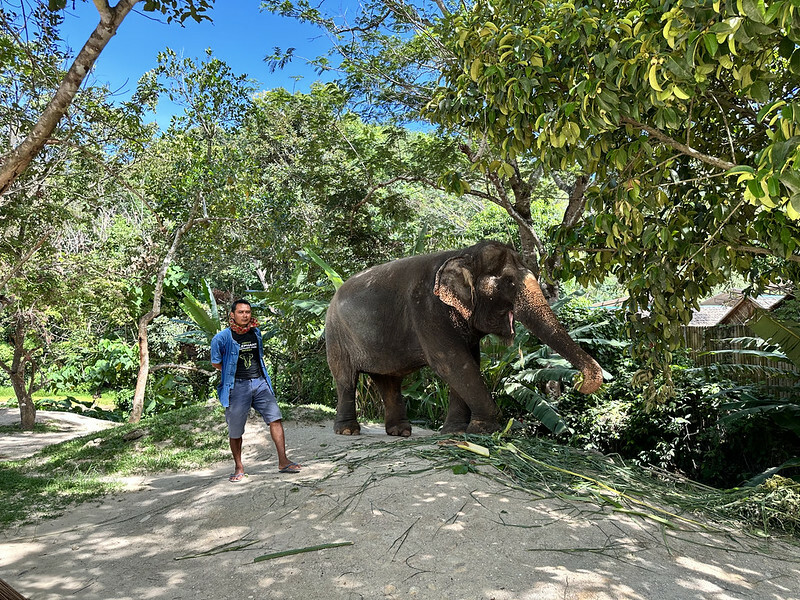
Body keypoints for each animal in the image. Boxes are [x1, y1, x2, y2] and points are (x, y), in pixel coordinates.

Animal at [324, 240, 604, 436]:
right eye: (509, 282)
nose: (579, 381)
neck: (463, 254)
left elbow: (469, 362)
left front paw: (455, 431)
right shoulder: (428, 310)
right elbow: (451, 362)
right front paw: (483, 430)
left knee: (389, 381)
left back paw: (400, 432)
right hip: (336, 335)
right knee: (346, 378)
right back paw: (348, 431)